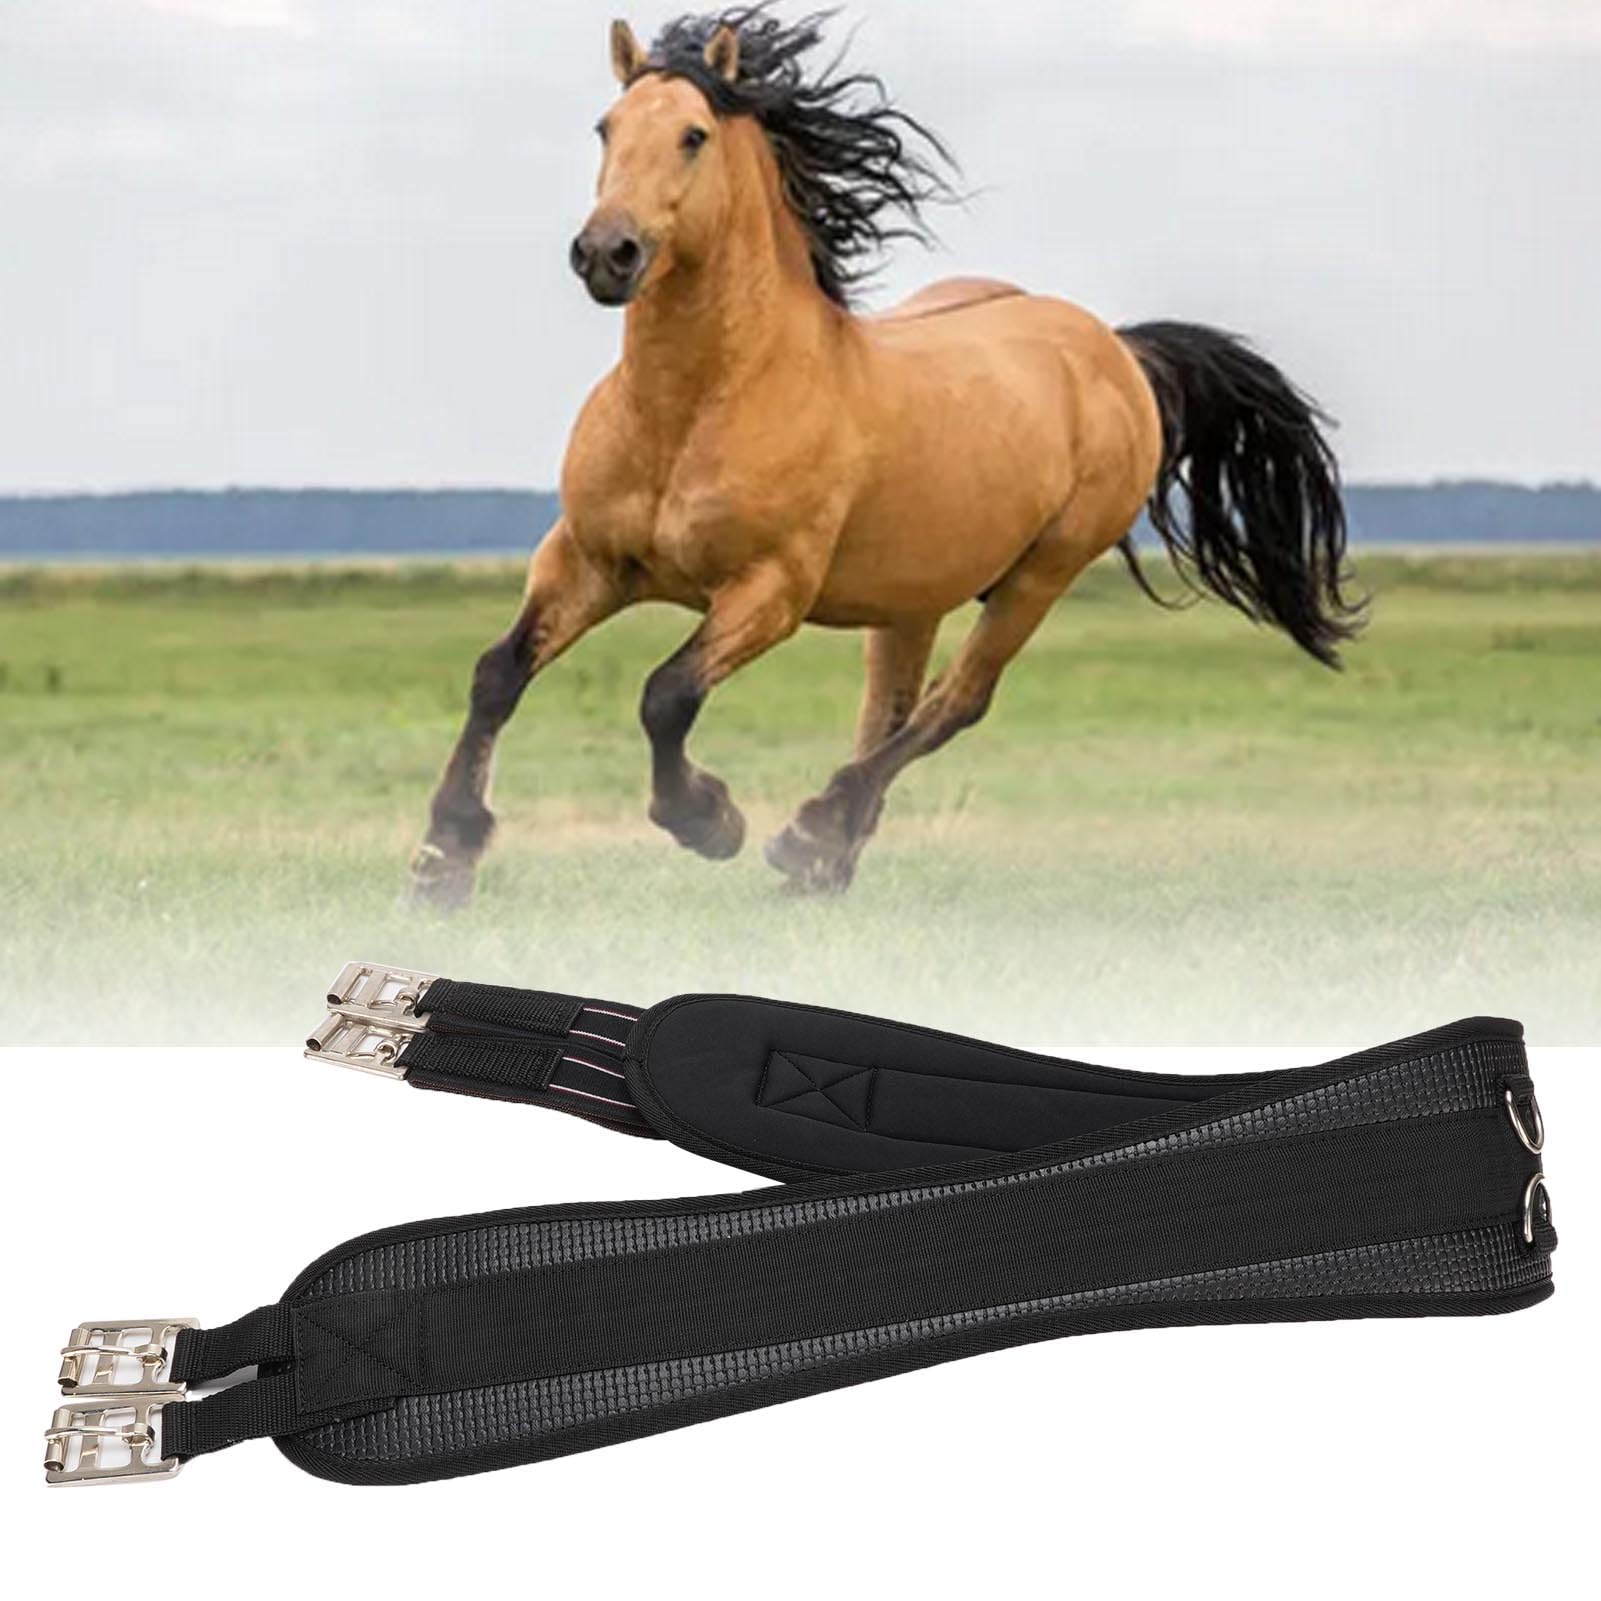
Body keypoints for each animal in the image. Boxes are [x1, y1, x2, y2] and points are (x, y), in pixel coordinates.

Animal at [409, 7, 1360, 909]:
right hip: (913, 597)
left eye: (693, 135)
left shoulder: (769, 590)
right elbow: (498, 673)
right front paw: (442, 859)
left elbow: (665, 694)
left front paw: (709, 820)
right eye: (605, 127)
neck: (695, 407)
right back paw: (823, 864)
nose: (607, 253)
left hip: (1039, 575)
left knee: (952, 705)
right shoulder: (585, 559)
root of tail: (1114, 348)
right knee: (890, 711)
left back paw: (809, 835)